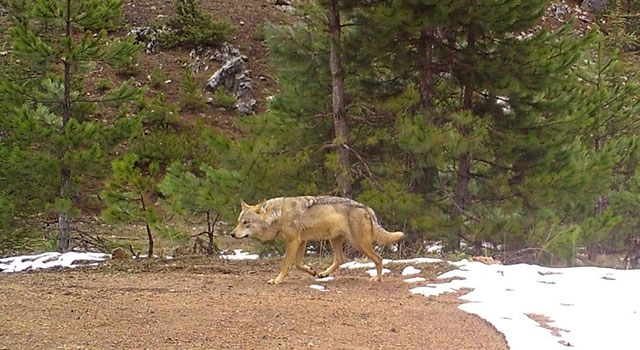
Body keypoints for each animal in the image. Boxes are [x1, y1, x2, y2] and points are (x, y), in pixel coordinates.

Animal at [230, 197, 402, 284]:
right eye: (238, 222)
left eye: (246, 222)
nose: (232, 234)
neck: (279, 215)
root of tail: (367, 208)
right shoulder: (301, 242)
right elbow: (298, 264)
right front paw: (312, 271)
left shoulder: (293, 242)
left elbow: (286, 264)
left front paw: (277, 280)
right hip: (335, 240)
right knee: (340, 259)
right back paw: (323, 274)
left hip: (359, 244)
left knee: (378, 258)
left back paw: (377, 278)